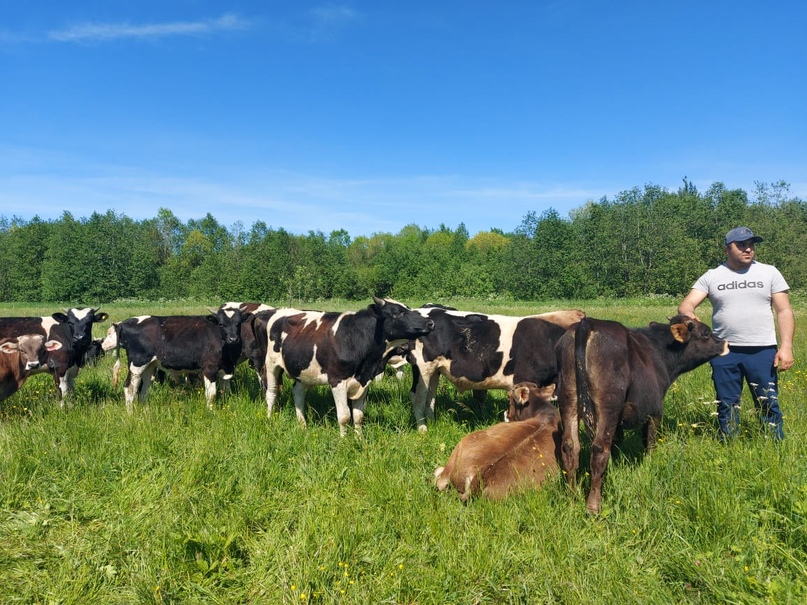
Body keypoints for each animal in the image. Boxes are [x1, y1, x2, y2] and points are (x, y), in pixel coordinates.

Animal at [258, 296, 436, 434]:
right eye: (398, 313)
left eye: (407, 308)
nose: (430, 323)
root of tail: (279, 311)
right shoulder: (337, 381)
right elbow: (344, 417)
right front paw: (344, 441)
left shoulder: (364, 381)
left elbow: (358, 417)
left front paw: (360, 440)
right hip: (271, 365)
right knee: (272, 393)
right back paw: (269, 419)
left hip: (303, 370)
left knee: (298, 393)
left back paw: (303, 425)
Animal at [408, 306, 584, 430]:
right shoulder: (524, 380)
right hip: (422, 368)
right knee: (418, 398)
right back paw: (423, 429)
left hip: (435, 371)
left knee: (430, 398)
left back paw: (432, 422)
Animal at [560, 312, 728, 516]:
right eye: (705, 333)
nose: (724, 342)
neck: (658, 353)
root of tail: (588, 322)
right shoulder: (654, 411)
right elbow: (650, 442)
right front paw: (651, 464)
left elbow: (617, 443)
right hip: (608, 403)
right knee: (599, 448)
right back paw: (593, 506)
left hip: (568, 397)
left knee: (570, 446)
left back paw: (572, 497)